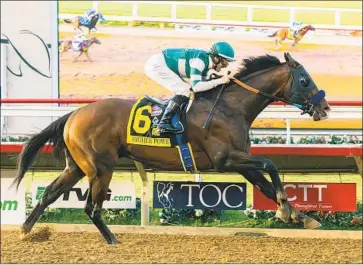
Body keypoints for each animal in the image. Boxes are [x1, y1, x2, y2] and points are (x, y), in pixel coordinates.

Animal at [13, 52, 332, 243]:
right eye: (305, 80)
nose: (325, 108)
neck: (231, 106)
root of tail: (74, 114)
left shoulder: (240, 162)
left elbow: (266, 185)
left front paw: (301, 217)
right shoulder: (225, 159)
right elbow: (271, 165)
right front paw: (287, 212)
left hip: (78, 166)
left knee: (50, 194)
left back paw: (26, 231)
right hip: (100, 167)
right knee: (91, 206)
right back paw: (113, 240)